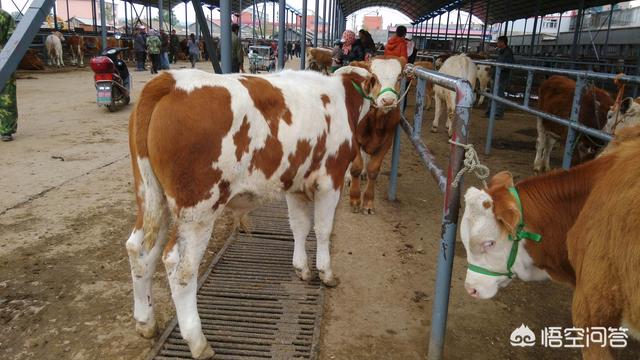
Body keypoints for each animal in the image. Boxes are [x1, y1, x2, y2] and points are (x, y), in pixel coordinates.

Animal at [127, 67, 372, 358]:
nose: (389, 100)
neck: (339, 96)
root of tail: (170, 79)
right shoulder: (330, 180)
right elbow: (323, 230)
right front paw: (326, 273)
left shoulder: (296, 186)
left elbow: (299, 227)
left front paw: (302, 268)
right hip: (198, 210)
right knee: (180, 267)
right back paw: (197, 341)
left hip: (152, 198)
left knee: (139, 251)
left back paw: (145, 321)